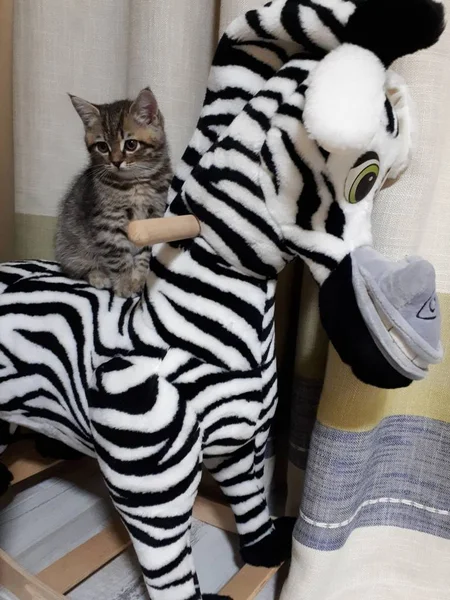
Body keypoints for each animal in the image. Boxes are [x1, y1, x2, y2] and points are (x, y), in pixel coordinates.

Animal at [54, 86, 171, 298]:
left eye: (131, 144)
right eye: (102, 147)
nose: (116, 161)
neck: (135, 184)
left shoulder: (152, 218)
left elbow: (144, 253)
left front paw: (139, 279)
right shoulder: (108, 222)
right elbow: (118, 256)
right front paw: (125, 284)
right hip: (68, 244)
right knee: (77, 268)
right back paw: (98, 276)